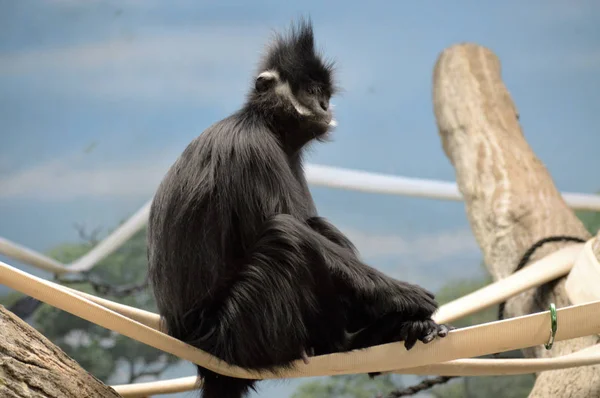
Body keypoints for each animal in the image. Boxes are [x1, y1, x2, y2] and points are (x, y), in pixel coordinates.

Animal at [146, 17, 450, 396]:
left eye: (324, 94)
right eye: (311, 91)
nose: (324, 107)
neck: (262, 122)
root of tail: (203, 359)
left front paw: (410, 318)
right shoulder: (252, 151)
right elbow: (287, 228)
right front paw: (405, 296)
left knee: (315, 226)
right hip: (238, 335)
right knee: (286, 234)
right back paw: (352, 341)